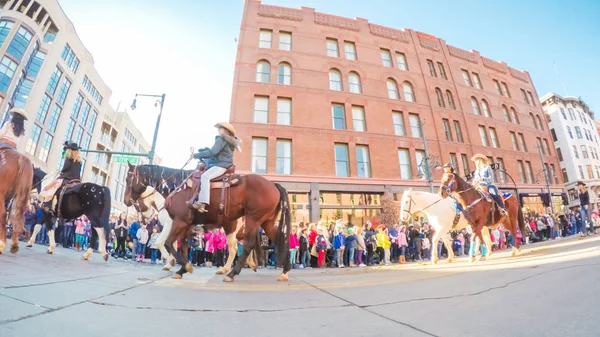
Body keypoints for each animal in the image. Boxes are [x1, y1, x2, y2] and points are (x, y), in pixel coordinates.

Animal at [124, 163, 290, 280]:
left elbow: (165, 243)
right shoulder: (185, 226)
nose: (126, 201)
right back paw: (282, 271)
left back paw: (231, 273)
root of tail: (273, 185)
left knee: (243, 247)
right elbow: (182, 247)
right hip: (265, 222)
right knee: (275, 241)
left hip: (251, 220)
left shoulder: (177, 223)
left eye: (127, 179)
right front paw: (181, 269)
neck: (177, 190)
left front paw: (176, 264)